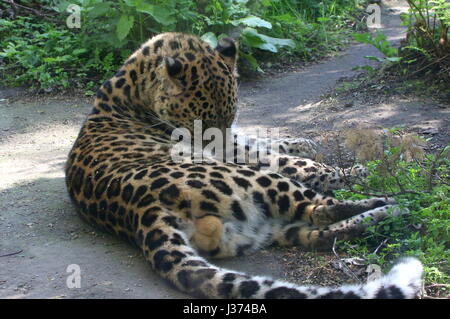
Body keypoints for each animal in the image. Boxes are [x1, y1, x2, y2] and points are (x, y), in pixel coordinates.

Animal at [65, 31, 424, 298]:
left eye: (229, 114)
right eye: (200, 120)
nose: (213, 142)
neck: (137, 85)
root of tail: (142, 212)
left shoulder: (235, 137)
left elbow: (267, 142)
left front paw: (306, 144)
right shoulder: (235, 152)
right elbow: (283, 159)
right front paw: (349, 171)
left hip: (260, 228)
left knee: (320, 234)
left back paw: (385, 213)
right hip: (253, 181)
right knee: (319, 209)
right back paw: (394, 201)